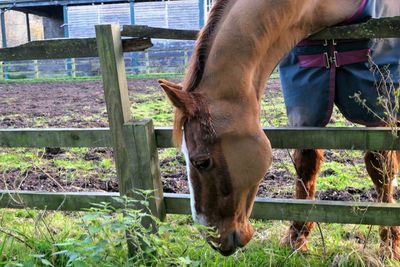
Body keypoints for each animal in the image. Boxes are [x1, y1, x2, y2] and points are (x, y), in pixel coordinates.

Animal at [159, 0, 400, 260]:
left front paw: (389, 247)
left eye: (202, 161)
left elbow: (381, 166)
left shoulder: (379, 112)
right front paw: (296, 239)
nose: (213, 240)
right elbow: (306, 162)